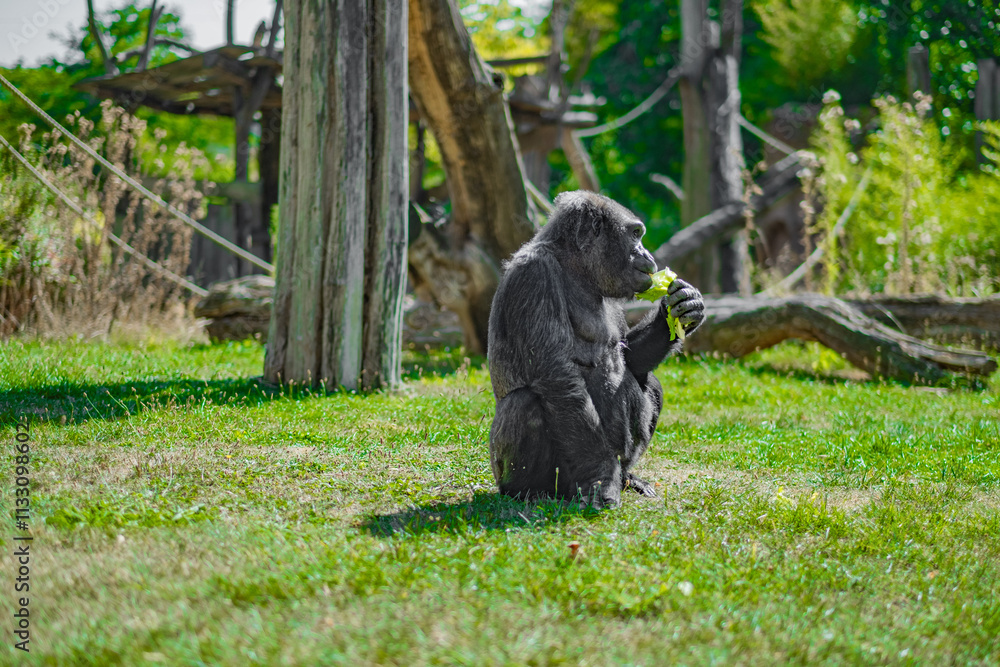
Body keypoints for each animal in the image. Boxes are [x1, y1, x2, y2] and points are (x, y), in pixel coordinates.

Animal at [487, 191, 705, 508]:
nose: (647, 255)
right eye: (635, 234)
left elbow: (629, 356)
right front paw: (601, 481)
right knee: (524, 403)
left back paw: (628, 478)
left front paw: (682, 306)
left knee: (651, 382)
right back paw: (529, 491)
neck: (576, 268)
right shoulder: (534, 277)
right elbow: (557, 377)